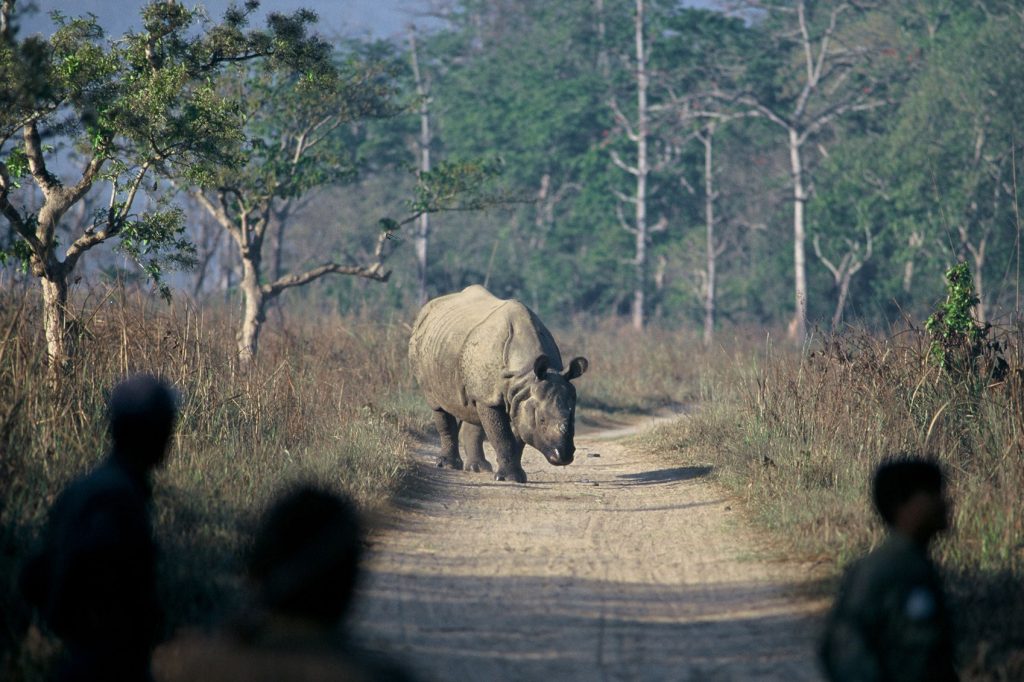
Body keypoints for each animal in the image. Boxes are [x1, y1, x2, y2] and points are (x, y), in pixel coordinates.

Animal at [408, 285, 588, 483]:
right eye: (541, 420)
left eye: (572, 418)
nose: (563, 456)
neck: (526, 375)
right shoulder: (495, 398)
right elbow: (502, 436)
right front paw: (509, 478)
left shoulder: (520, 395)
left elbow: (517, 436)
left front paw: (516, 477)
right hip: (422, 347)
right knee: (438, 405)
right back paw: (449, 465)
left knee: (472, 409)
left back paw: (478, 468)